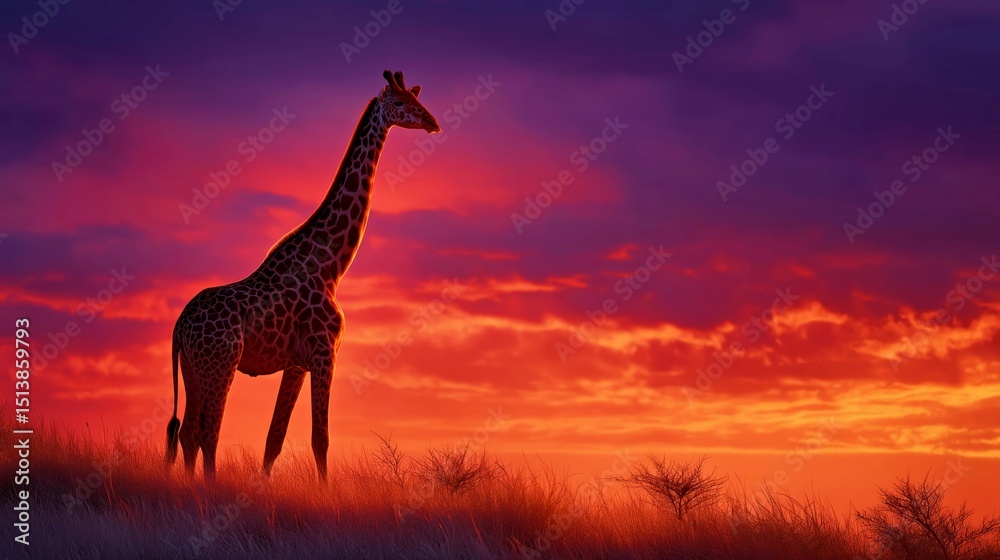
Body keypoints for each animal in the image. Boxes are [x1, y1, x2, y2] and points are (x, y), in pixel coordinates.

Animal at [165, 70, 440, 481]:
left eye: (417, 99)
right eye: (400, 103)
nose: (432, 123)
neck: (332, 267)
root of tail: (179, 326)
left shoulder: (296, 364)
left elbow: (273, 441)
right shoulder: (325, 353)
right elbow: (319, 439)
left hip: (192, 369)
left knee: (186, 432)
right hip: (219, 365)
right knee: (207, 431)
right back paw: (209, 487)